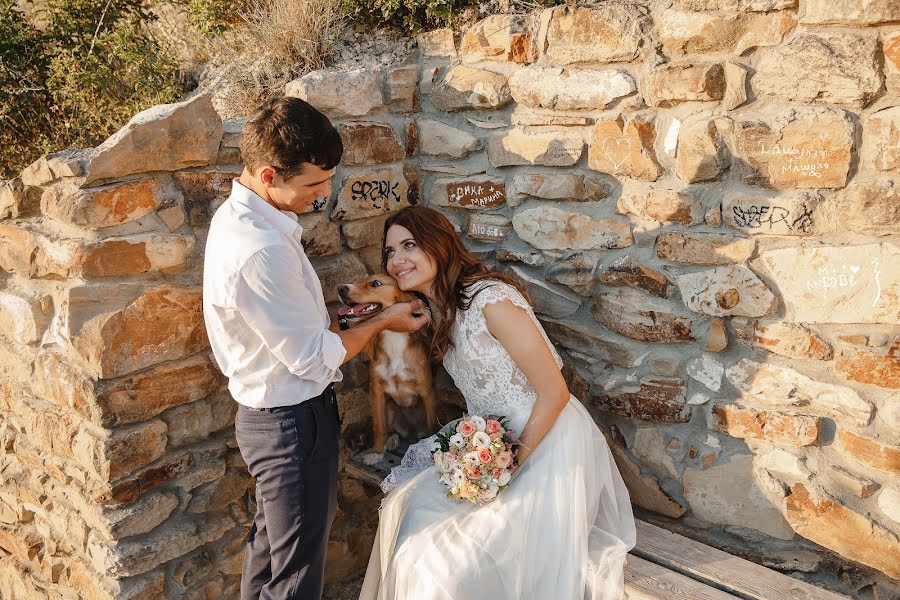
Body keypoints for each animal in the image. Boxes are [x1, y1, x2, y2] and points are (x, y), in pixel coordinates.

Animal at [338, 274, 436, 466]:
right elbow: (379, 427)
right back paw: (391, 440)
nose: (340, 289)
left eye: (375, 283)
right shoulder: (376, 391)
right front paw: (376, 452)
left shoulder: (427, 392)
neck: (393, 339)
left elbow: (431, 427)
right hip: (391, 407)